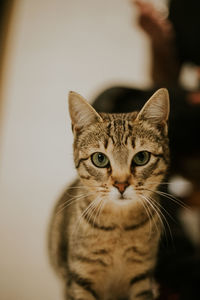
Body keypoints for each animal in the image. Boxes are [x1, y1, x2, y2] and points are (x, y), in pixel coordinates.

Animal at [48, 89, 169, 300]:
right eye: (100, 158)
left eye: (141, 157)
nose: (121, 184)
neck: (119, 227)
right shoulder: (80, 278)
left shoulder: (142, 276)